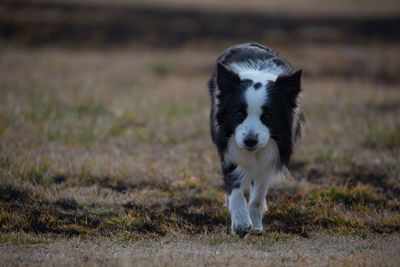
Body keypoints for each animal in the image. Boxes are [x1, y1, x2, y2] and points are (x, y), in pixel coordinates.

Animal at [209, 42, 304, 237]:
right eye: (239, 114)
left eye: (267, 116)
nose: (250, 141)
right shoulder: (228, 147)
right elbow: (234, 187)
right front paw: (240, 223)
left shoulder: (270, 156)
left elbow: (258, 197)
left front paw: (257, 226)